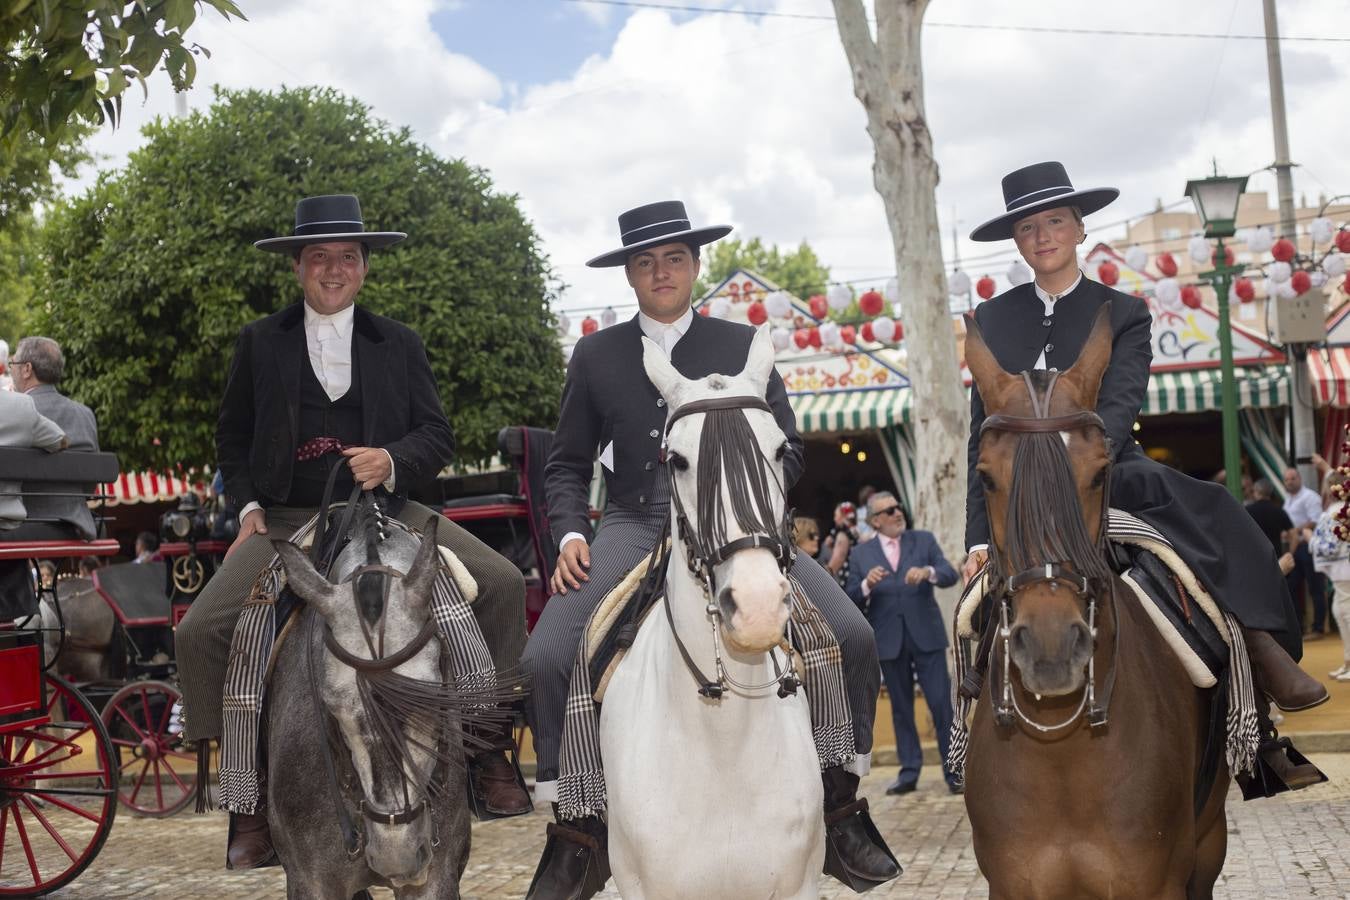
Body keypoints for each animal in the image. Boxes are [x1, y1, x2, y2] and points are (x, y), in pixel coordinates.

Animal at [961, 306, 1236, 895]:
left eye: (1100, 471)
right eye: (986, 477)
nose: (1050, 651)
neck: (1062, 754)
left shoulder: (1158, 881)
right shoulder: (1011, 884)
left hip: (1210, 841)